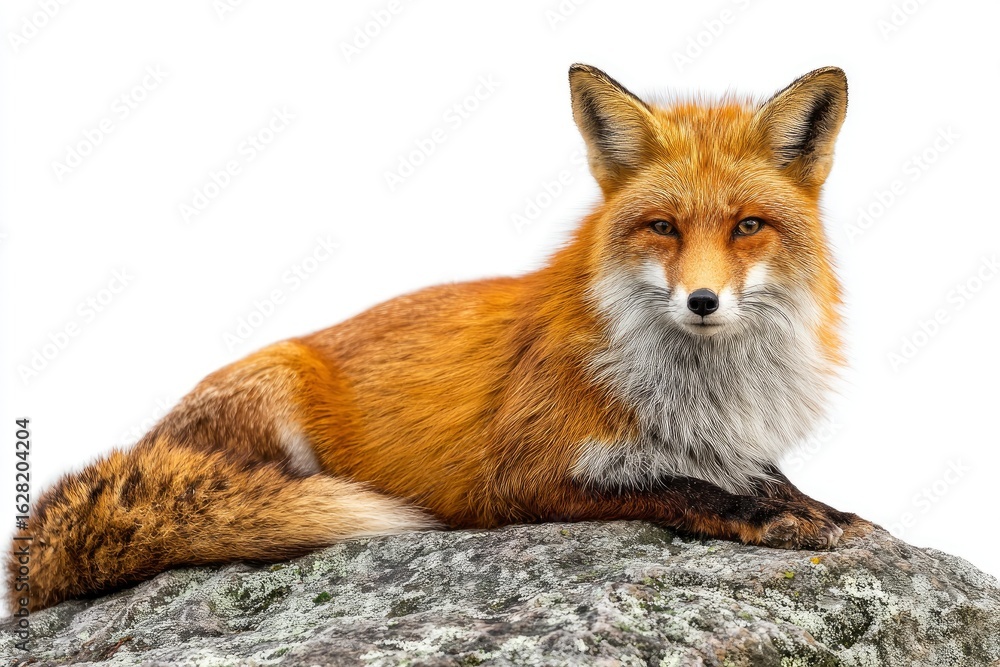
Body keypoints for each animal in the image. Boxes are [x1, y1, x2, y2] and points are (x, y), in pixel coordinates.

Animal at [9, 64, 872, 613]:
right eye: (663, 227)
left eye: (748, 226)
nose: (701, 301)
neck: (702, 389)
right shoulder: (522, 476)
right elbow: (683, 489)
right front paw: (766, 516)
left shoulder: (727, 439)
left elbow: (764, 476)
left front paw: (825, 508)